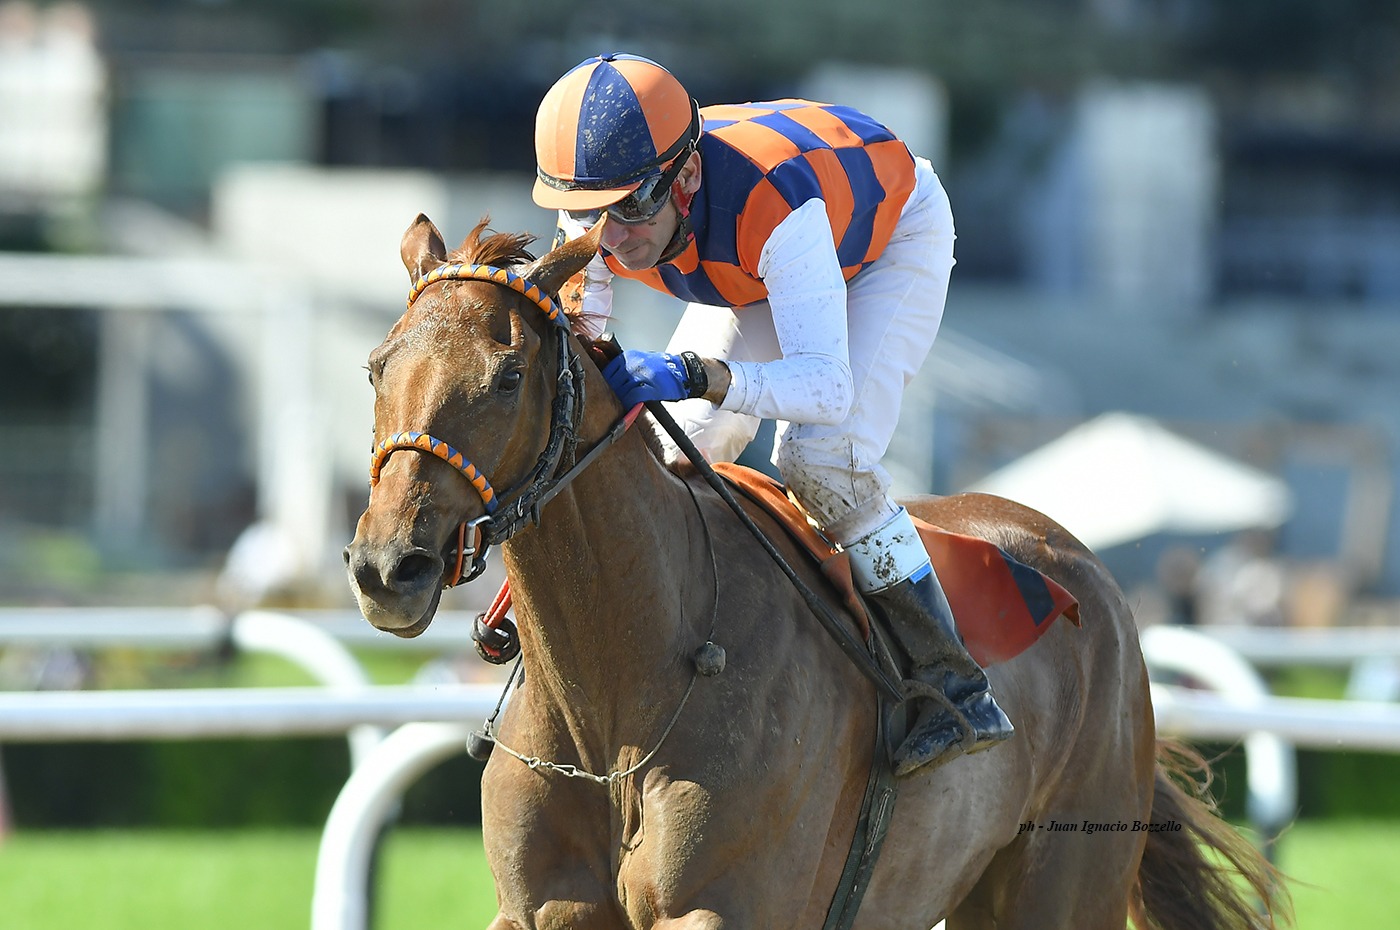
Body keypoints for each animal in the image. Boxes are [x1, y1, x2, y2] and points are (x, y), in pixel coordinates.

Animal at [344, 214, 1289, 930]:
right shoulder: (541, 908)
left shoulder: (722, 909)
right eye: (377, 366)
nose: (389, 566)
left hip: (1063, 883)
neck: (615, 698)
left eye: (508, 377)